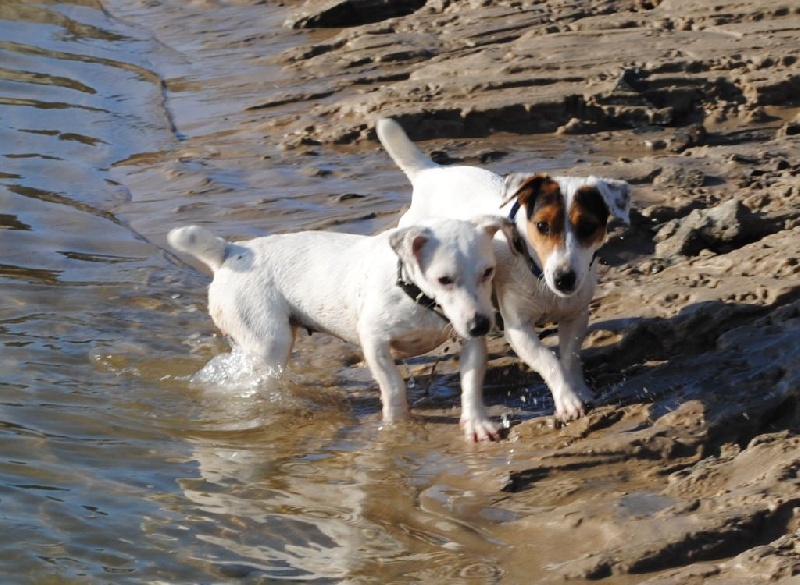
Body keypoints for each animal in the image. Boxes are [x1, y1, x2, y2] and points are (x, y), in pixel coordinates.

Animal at [170, 217, 512, 440]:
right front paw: (396, 425)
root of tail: (229, 251)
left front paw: (476, 422)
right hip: (268, 346)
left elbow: (471, 382)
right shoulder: (374, 342)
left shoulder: (468, 340)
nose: (482, 325)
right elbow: (393, 386)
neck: (417, 296)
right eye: (444, 279)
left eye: (488, 272)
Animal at [376, 117, 632, 420]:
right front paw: (567, 399)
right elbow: (549, 359)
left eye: (589, 227)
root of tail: (431, 172)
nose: (564, 279)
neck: (540, 277)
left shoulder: (575, 317)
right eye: (542, 226)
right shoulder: (519, 329)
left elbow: (570, 357)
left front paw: (578, 390)